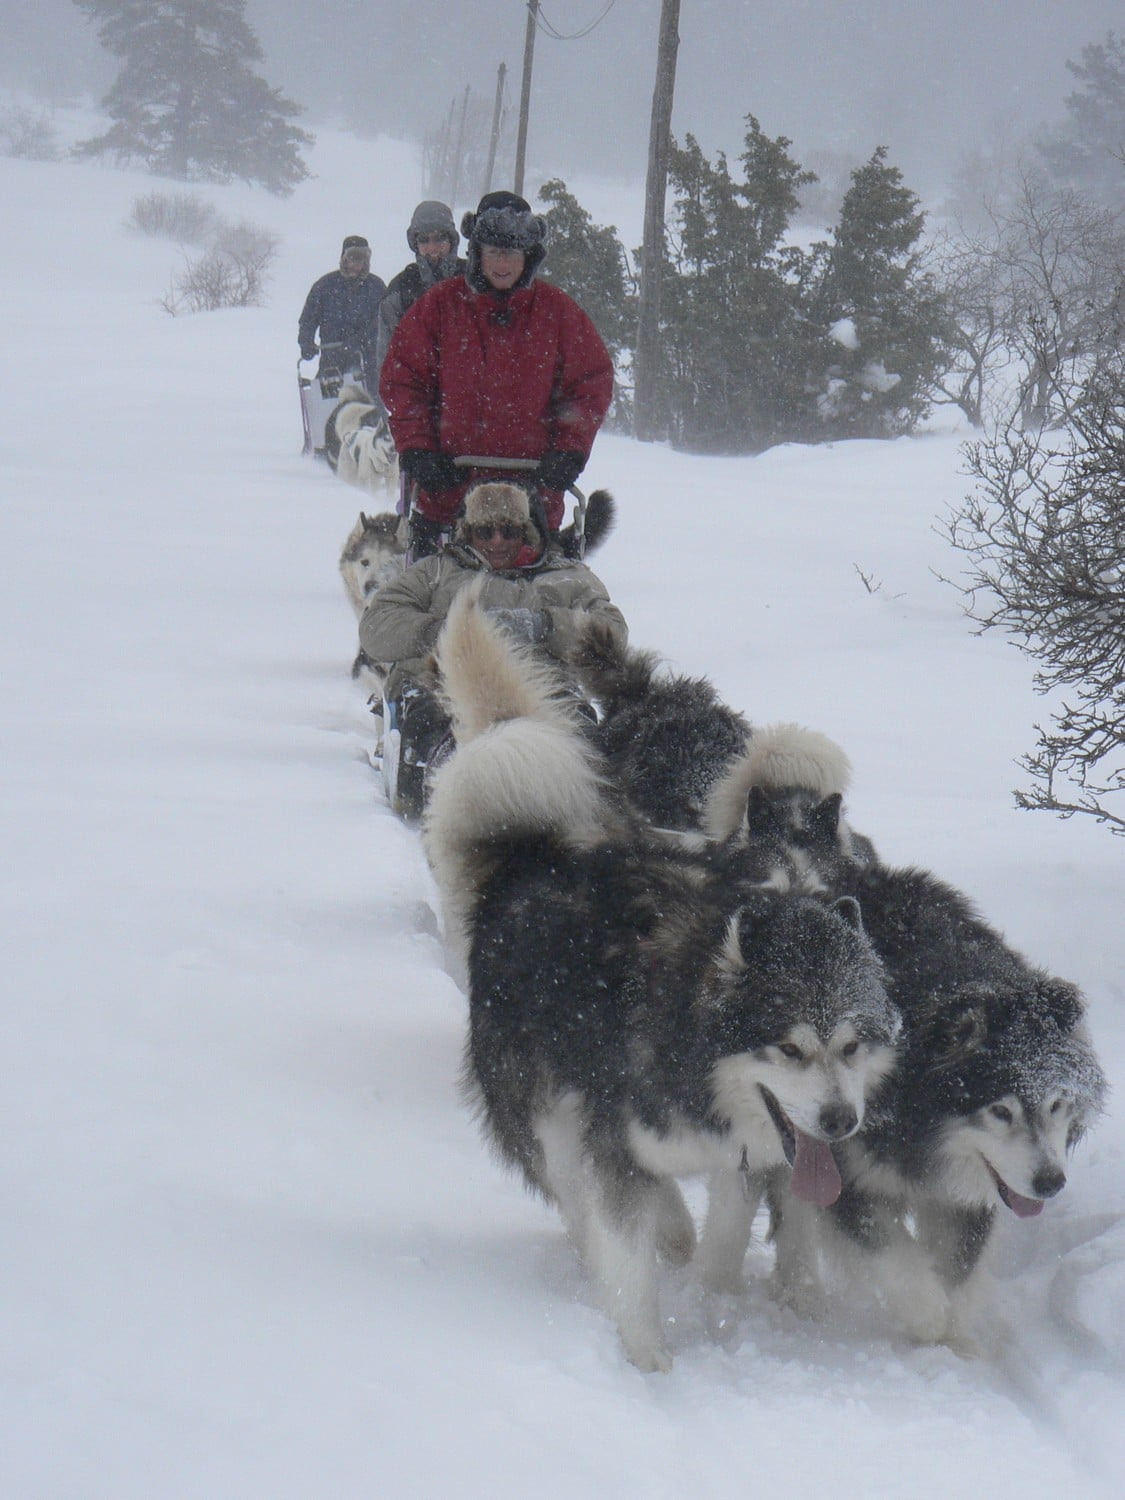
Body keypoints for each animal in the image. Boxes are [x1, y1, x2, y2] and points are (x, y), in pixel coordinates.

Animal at [420, 597, 906, 1374]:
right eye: (790, 1049)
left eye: (853, 1046)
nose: (840, 1123)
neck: (691, 1049)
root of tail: (532, 860)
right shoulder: (615, 1145)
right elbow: (625, 1256)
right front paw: (646, 1359)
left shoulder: (750, 1154)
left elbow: (727, 1236)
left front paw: (716, 1296)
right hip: (547, 1107)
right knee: (575, 1188)